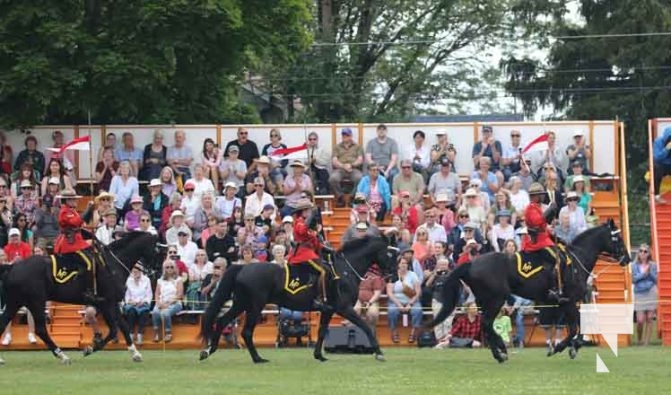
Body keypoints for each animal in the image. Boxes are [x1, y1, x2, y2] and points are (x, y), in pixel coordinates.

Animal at [0, 234, 159, 366]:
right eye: (157, 250)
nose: (156, 273)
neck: (113, 265)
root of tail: (13, 266)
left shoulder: (112, 303)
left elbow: (123, 327)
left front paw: (135, 353)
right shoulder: (107, 303)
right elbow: (114, 329)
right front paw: (91, 348)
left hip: (17, 302)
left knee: (4, 323)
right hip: (36, 302)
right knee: (40, 330)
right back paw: (63, 356)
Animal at [200, 235, 400, 366]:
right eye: (390, 255)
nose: (395, 277)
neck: (345, 270)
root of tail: (242, 267)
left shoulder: (328, 309)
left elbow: (321, 332)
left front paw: (319, 356)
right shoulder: (344, 308)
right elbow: (366, 327)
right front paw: (379, 353)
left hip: (241, 304)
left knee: (221, 321)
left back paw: (208, 351)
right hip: (254, 306)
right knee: (247, 332)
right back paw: (257, 359)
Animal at [428, 221, 632, 364]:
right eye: (617, 238)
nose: (628, 259)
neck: (576, 260)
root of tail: (472, 263)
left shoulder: (569, 301)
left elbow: (581, 324)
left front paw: (574, 346)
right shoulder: (569, 300)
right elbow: (575, 327)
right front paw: (559, 347)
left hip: (485, 301)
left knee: (486, 326)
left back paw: (500, 351)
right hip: (496, 300)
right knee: (486, 324)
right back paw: (501, 352)